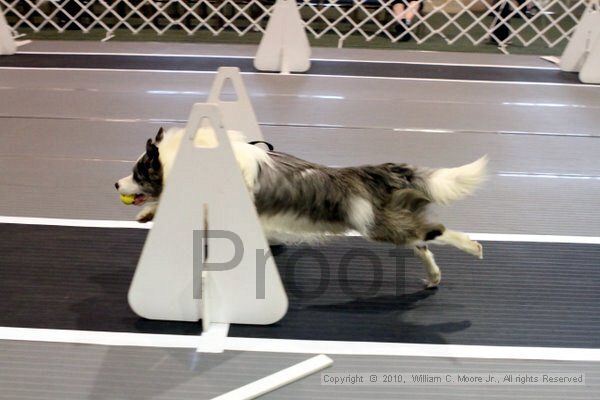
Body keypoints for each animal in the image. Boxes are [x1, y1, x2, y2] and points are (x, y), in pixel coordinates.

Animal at [116, 126, 488, 286]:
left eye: (138, 173)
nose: (116, 185)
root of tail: (370, 172)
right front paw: (147, 212)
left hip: (377, 225)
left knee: (434, 231)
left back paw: (473, 246)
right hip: (389, 220)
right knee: (422, 240)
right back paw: (434, 277)